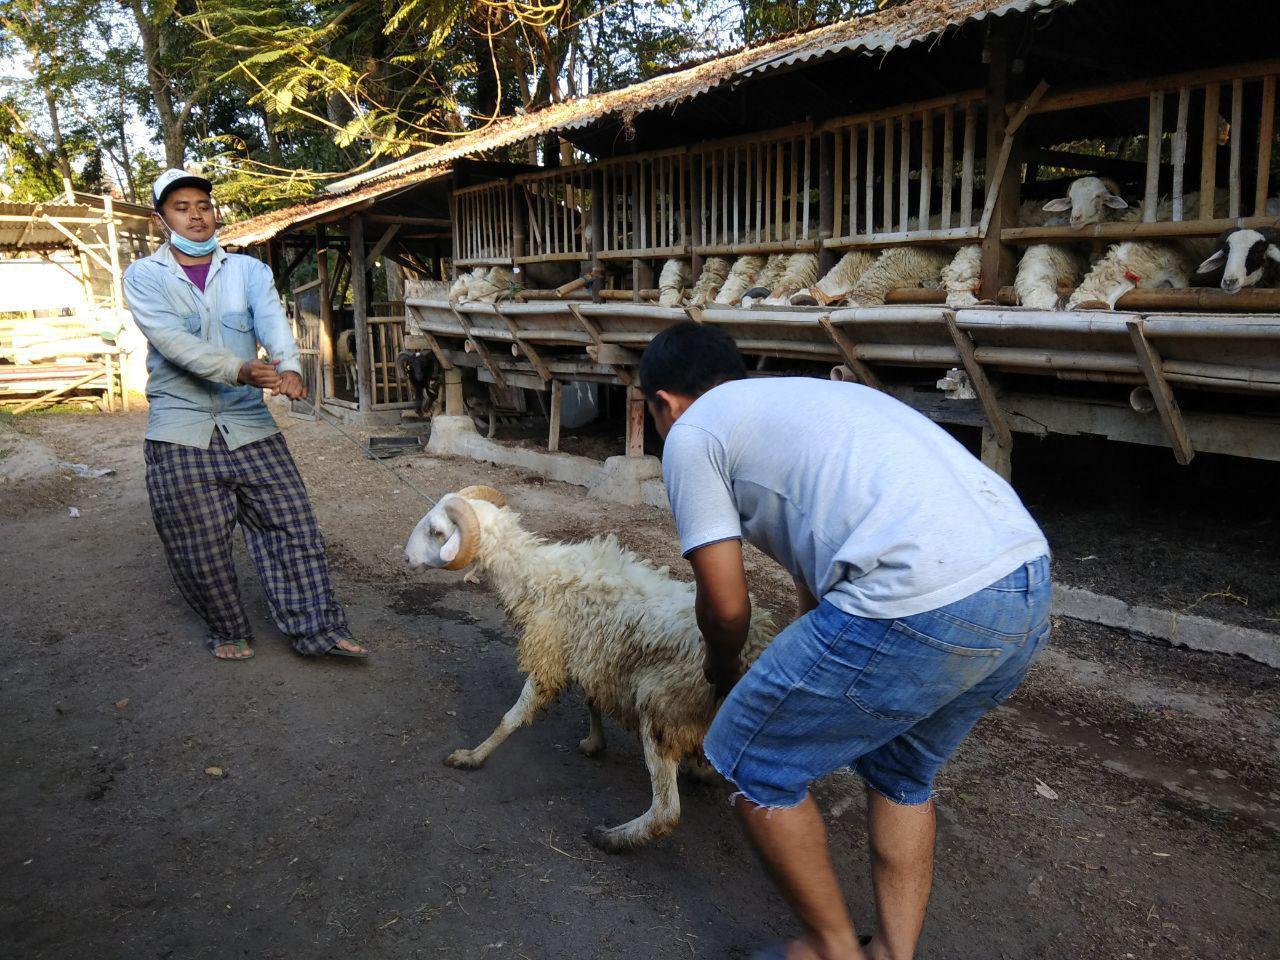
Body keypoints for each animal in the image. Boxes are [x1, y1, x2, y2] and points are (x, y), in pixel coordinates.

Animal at [404, 483, 773, 855]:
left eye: (437, 532)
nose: (406, 558)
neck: (533, 575)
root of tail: (755, 647)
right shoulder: (590, 653)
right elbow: (591, 699)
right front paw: (594, 742)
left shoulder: (548, 652)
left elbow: (512, 717)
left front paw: (472, 756)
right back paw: (700, 770)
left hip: (663, 710)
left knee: (666, 812)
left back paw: (613, 838)